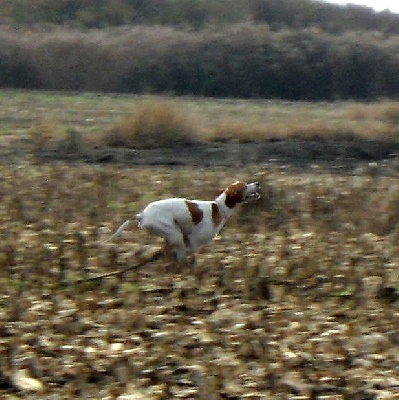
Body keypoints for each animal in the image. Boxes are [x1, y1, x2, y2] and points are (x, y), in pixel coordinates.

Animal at [108, 180, 260, 262]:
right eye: (245, 186)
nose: (257, 183)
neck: (219, 207)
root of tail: (142, 214)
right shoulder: (193, 242)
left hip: (171, 236)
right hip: (175, 235)